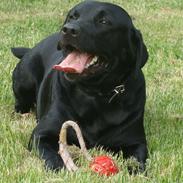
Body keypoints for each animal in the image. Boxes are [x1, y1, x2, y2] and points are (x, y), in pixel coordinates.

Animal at [11, 0, 148, 172]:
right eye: (72, 16)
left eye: (104, 21)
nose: (69, 29)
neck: (95, 94)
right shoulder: (41, 134)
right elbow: (50, 154)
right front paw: (59, 167)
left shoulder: (135, 141)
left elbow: (138, 161)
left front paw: (135, 171)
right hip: (25, 77)